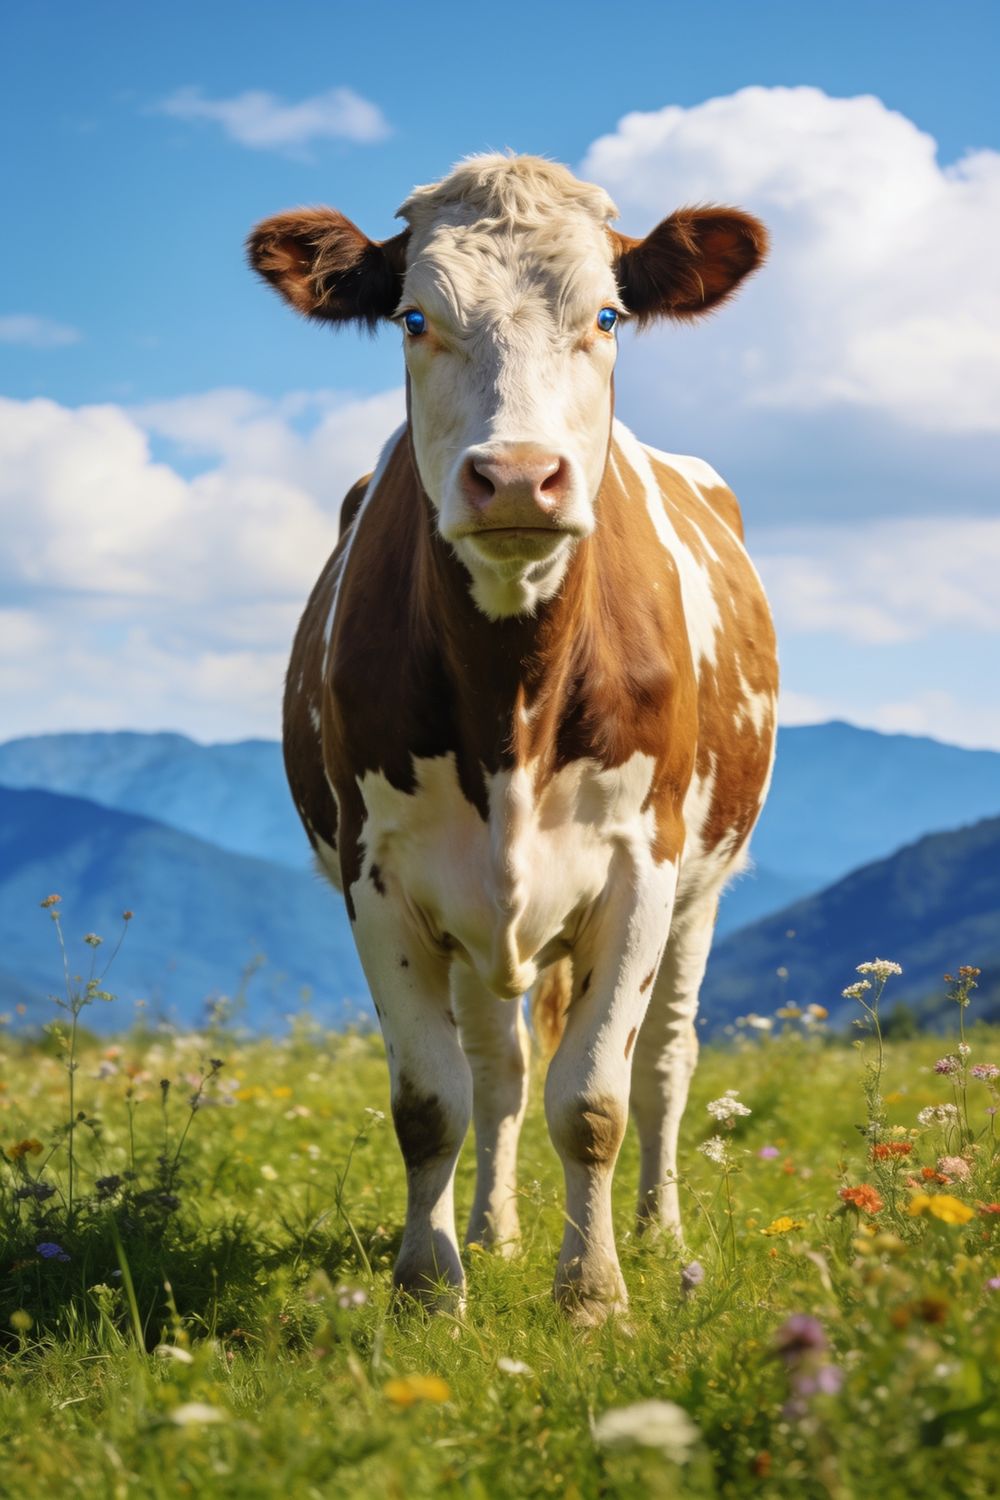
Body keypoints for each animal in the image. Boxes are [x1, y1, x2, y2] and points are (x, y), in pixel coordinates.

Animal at [248, 154, 778, 1323]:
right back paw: (492, 1232)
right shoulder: (381, 876)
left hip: (705, 887)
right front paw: (427, 1285)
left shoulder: (643, 867)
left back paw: (659, 1230)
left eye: (608, 315)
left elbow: (595, 1101)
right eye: (414, 317)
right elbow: (433, 1101)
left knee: (666, 1064)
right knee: (497, 1072)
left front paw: (593, 1294)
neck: (512, 701)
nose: (520, 477)